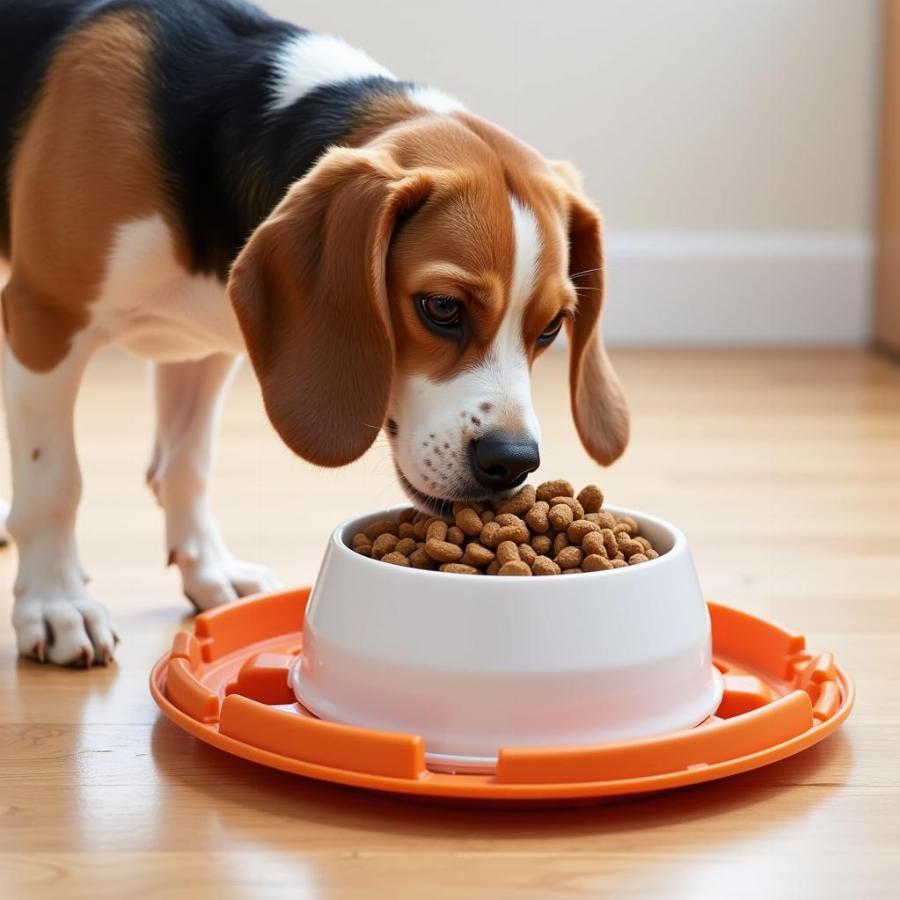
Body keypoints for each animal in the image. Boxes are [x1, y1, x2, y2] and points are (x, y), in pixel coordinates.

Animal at [0, 0, 628, 660]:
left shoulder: (203, 347)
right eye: (441, 307)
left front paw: (208, 571)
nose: (512, 463)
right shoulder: (46, 319)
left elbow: (186, 467)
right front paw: (56, 604)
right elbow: (54, 481)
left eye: (552, 327)